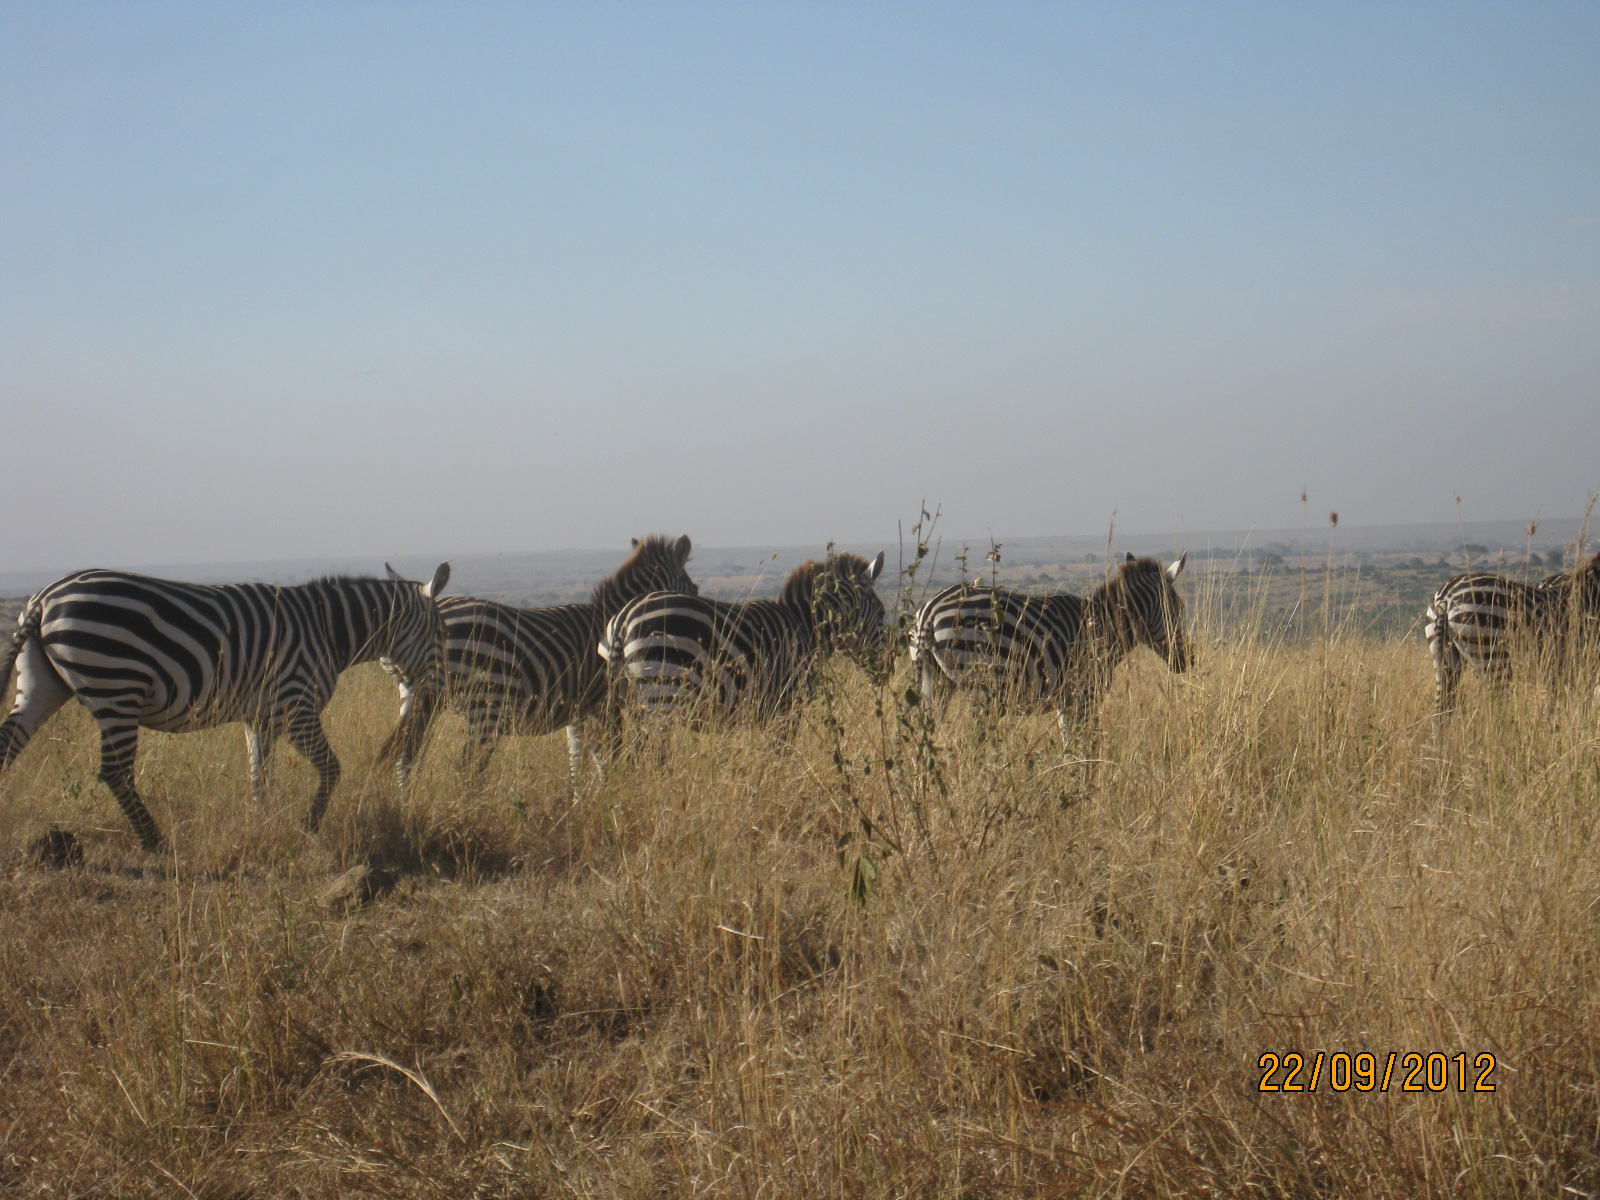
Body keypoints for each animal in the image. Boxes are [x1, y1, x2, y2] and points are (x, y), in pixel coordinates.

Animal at [0, 566, 451, 857]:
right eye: (442, 633)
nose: (437, 694)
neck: (326, 630)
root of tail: (44, 597)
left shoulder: (262, 717)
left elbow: (259, 774)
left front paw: (260, 825)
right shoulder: (296, 707)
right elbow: (330, 768)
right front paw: (308, 827)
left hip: (42, 684)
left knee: (8, 745)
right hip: (116, 686)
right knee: (115, 772)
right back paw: (154, 842)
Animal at [393, 534, 694, 790]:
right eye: (694, 587)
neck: (614, 615)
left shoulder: (580, 710)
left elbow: (579, 758)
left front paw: (577, 801)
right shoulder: (606, 704)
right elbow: (609, 754)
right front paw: (609, 793)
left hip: (416, 695)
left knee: (406, 754)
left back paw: (406, 801)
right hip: (484, 701)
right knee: (466, 765)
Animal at [601, 550, 889, 729]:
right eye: (882, 612)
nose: (888, 669)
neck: (804, 626)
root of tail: (624, 618)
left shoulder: (766, 712)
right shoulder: (786, 705)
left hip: (632, 700)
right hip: (663, 692)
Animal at [915, 553, 1190, 742]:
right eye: (1179, 609)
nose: (1188, 661)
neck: (1105, 625)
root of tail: (931, 610)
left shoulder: (1066, 699)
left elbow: (1069, 741)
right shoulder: (1086, 693)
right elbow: (1086, 744)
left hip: (935, 679)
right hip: (984, 686)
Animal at [1427, 553, 1600, 720]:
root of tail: (1446, 596)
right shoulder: (1587, 664)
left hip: (1446, 658)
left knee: (1442, 711)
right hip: (1492, 655)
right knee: (1495, 710)